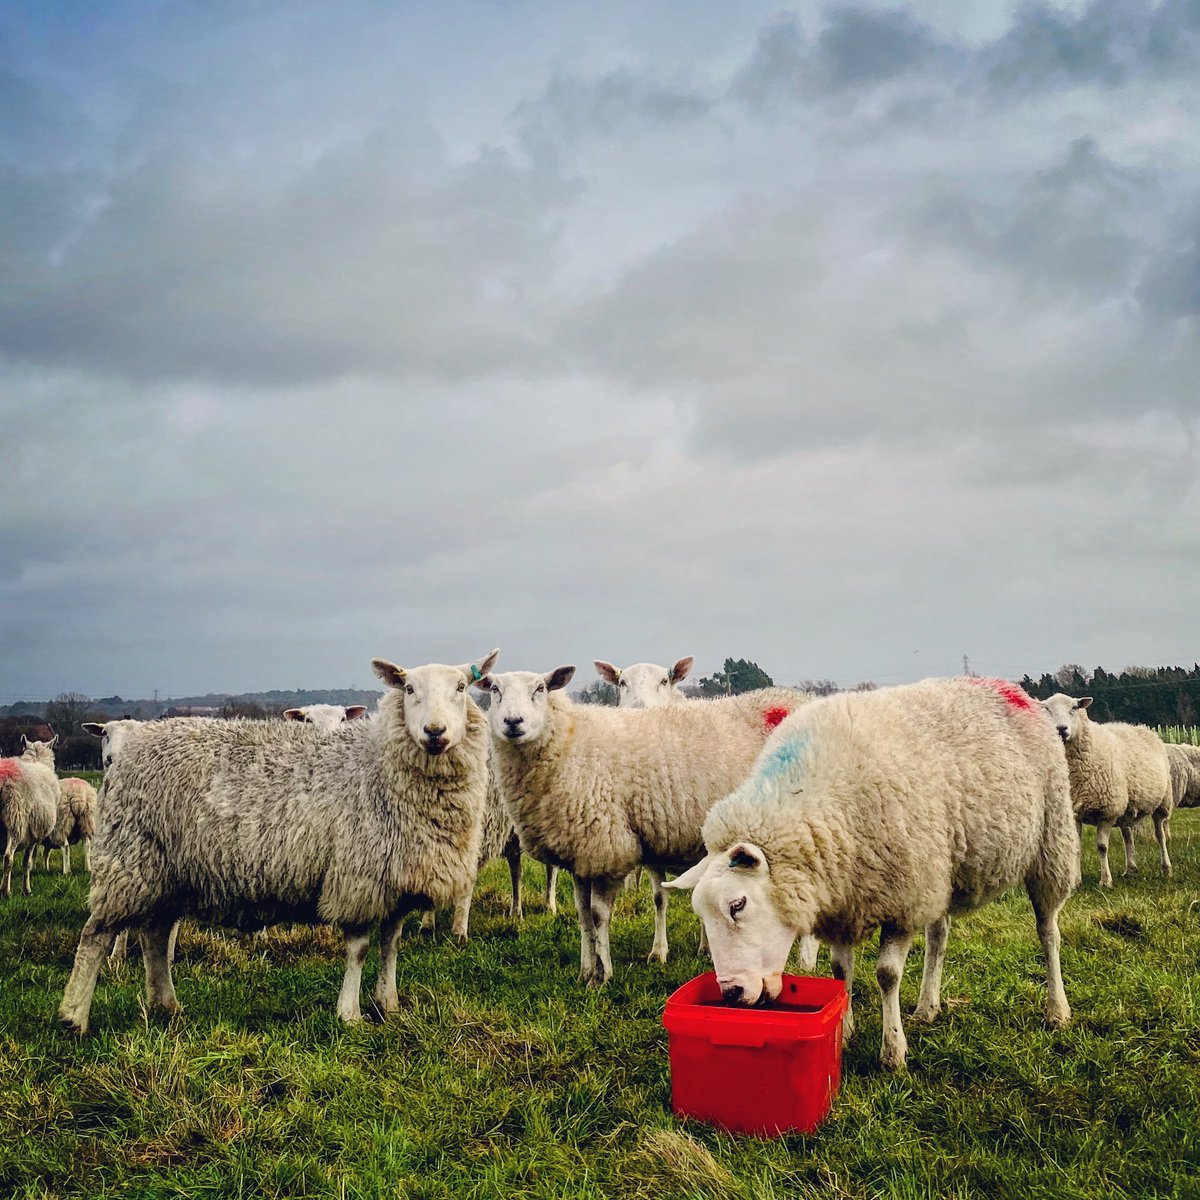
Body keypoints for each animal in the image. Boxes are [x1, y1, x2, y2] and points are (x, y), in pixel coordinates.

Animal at [1, 737, 59, 897]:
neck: (37, 761)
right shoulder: (33, 835)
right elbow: (27, 863)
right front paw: (26, 890)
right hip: (15, 822)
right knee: (8, 857)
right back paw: (6, 892)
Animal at [58, 650, 499, 1034]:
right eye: (408, 689)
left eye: (461, 687)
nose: (435, 732)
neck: (377, 764)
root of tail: (134, 747)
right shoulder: (355, 876)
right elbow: (359, 949)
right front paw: (350, 1014)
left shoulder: (394, 880)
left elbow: (391, 945)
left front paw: (388, 1005)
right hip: (131, 858)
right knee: (96, 935)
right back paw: (74, 1017)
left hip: (167, 869)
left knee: (155, 935)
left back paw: (165, 1005)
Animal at [477, 666, 808, 984]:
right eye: (494, 689)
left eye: (540, 688)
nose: (513, 722)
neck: (569, 745)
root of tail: (795, 699)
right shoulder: (581, 853)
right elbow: (583, 915)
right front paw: (585, 971)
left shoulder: (607, 848)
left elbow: (598, 915)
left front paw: (603, 975)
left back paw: (803, 959)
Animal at [665, 677, 1079, 1072]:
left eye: (738, 904)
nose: (731, 993)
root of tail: (1008, 688)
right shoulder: (844, 900)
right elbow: (839, 971)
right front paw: (844, 1028)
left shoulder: (903, 900)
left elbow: (887, 975)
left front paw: (892, 1051)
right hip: (940, 867)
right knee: (939, 936)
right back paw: (928, 1006)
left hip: (1051, 842)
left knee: (1048, 933)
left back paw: (1057, 1010)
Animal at [1039, 694, 1173, 885]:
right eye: (1047, 709)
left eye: (1074, 708)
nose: (1061, 729)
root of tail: (1140, 727)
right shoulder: (1075, 812)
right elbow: (1077, 848)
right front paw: (1076, 881)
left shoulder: (1107, 811)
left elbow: (1102, 847)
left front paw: (1105, 881)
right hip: (1126, 807)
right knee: (1127, 835)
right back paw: (1131, 869)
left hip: (1162, 802)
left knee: (1160, 835)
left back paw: (1166, 868)